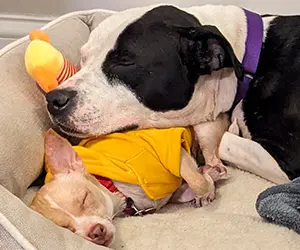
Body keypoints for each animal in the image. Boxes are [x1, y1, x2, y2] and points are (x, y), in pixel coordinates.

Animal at [31, 130, 227, 247]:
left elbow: (196, 180)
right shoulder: (174, 194)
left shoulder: (172, 149)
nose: (96, 232)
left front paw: (207, 188)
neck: (118, 191)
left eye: (85, 199)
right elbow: (192, 186)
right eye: (65, 227)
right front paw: (209, 181)